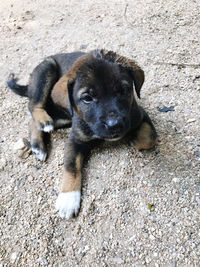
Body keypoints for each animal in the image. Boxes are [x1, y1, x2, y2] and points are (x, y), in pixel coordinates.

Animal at [7, 49, 157, 220]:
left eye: (124, 90)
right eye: (87, 98)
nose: (114, 125)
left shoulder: (139, 115)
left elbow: (150, 138)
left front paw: (135, 139)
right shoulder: (75, 140)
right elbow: (71, 167)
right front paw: (68, 198)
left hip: (62, 116)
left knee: (32, 120)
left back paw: (38, 143)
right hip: (46, 70)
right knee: (34, 106)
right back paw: (43, 126)